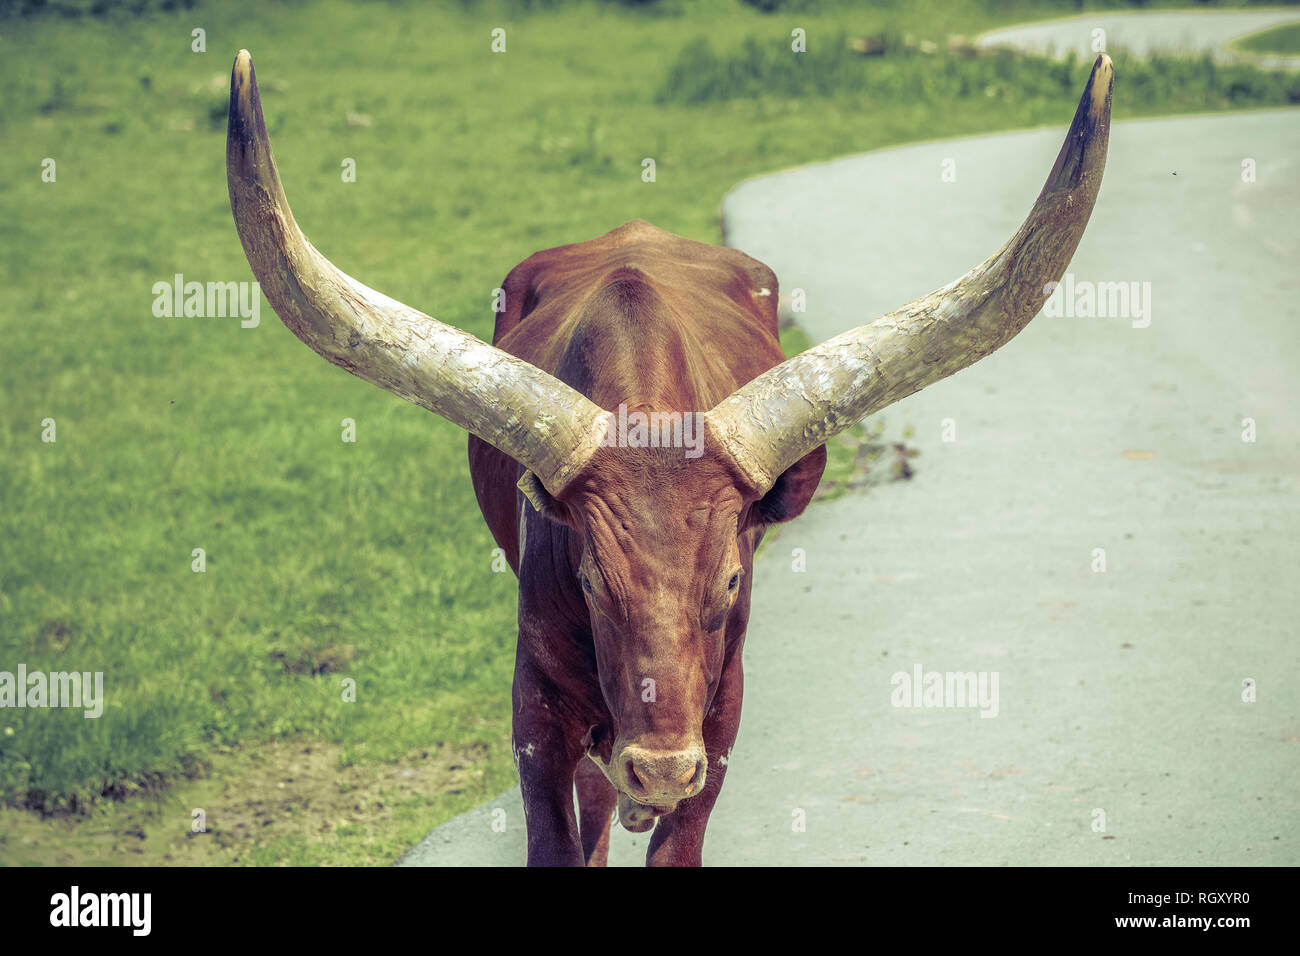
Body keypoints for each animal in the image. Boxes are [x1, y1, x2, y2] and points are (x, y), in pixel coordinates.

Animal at [220, 50, 1107, 868]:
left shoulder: (722, 713)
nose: (660, 769)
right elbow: (559, 835)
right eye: (589, 580)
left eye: (732, 580)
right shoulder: (534, 705)